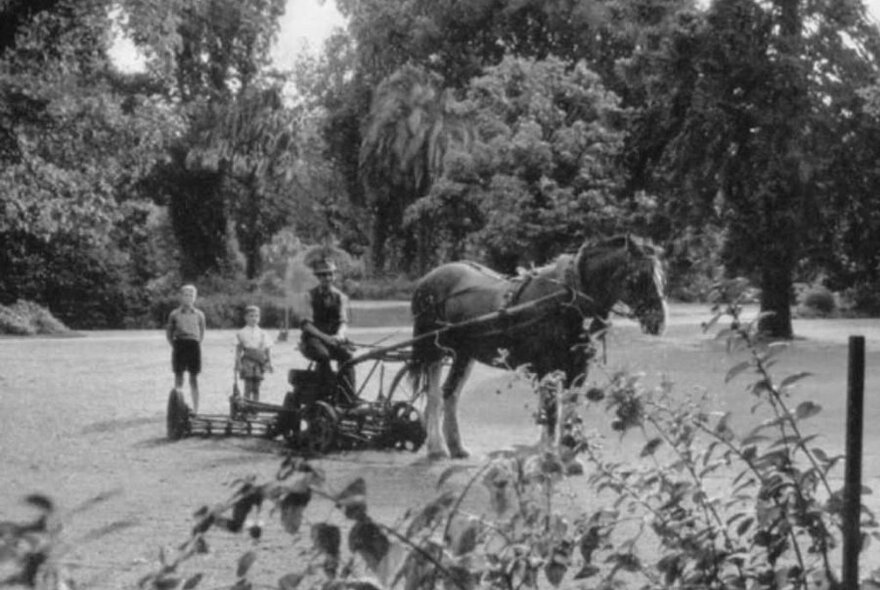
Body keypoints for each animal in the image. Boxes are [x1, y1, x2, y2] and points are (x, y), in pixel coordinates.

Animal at [410, 236, 668, 462]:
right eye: (638, 277)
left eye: (661, 276)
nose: (658, 320)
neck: (567, 298)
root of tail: (427, 279)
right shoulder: (548, 367)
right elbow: (551, 411)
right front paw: (550, 455)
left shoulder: (578, 369)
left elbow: (568, 409)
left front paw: (568, 456)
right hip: (432, 350)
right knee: (434, 394)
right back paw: (436, 449)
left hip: (465, 354)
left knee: (450, 392)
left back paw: (456, 447)